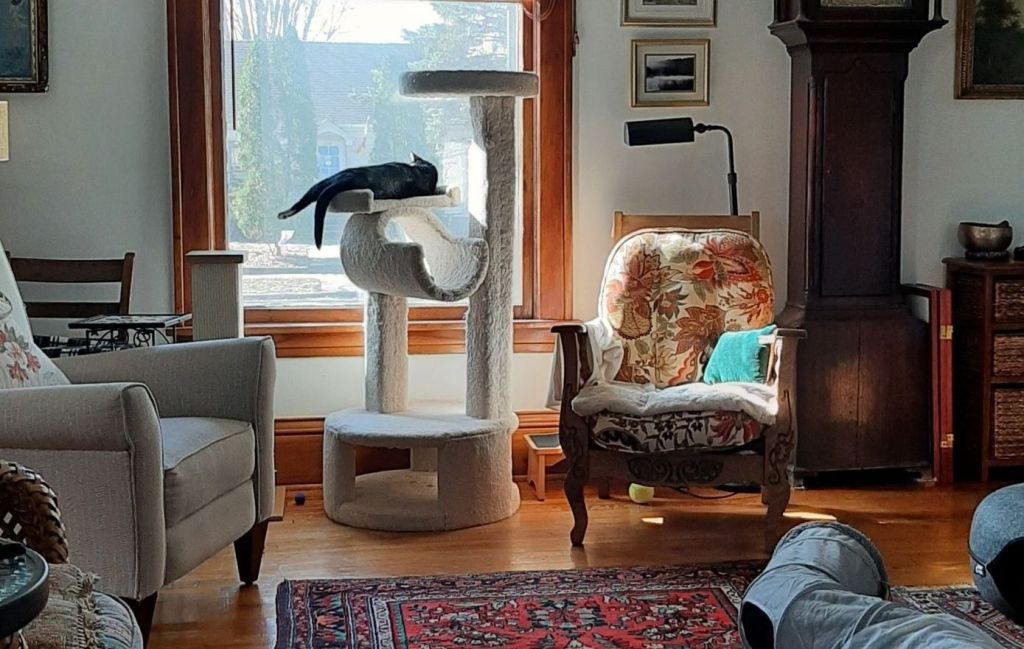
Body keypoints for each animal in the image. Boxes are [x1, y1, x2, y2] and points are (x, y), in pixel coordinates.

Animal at [278, 154, 439, 249]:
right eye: (411, 162)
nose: (410, 163)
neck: (422, 171)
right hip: (325, 184)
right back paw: (283, 214)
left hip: (320, 186)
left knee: (304, 200)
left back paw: (283, 214)